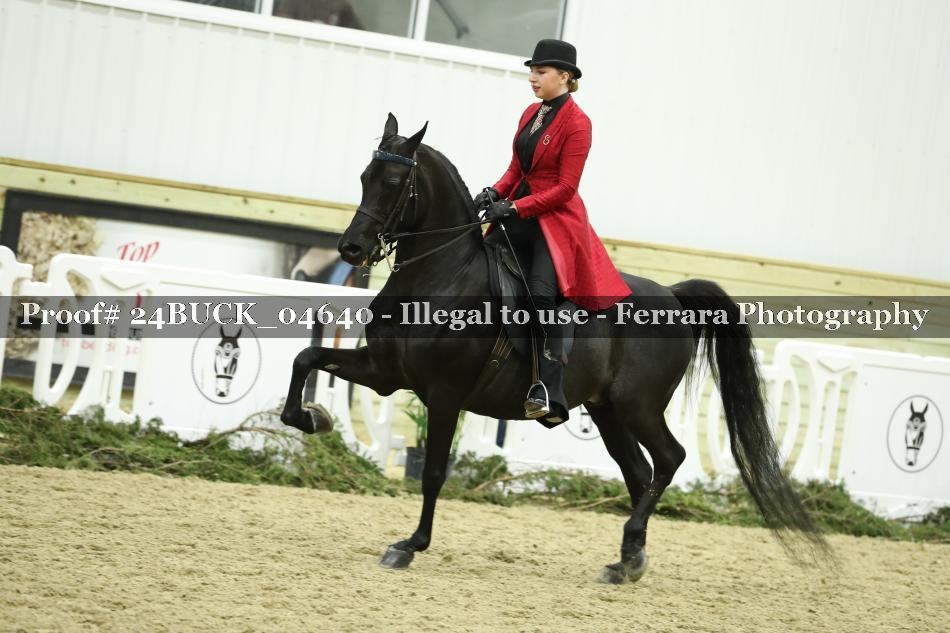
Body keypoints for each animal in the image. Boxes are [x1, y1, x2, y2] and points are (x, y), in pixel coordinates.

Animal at [279, 114, 829, 583]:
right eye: (365, 176)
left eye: (395, 182)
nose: (352, 249)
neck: (440, 276)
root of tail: (672, 295)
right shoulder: (385, 372)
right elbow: (306, 358)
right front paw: (311, 418)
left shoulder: (443, 394)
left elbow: (433, 472)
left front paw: (409, 545)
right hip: (608, 412)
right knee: (640, 472)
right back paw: (628, 560)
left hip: (638, 406)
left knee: (668, 459)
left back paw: (630, 548)